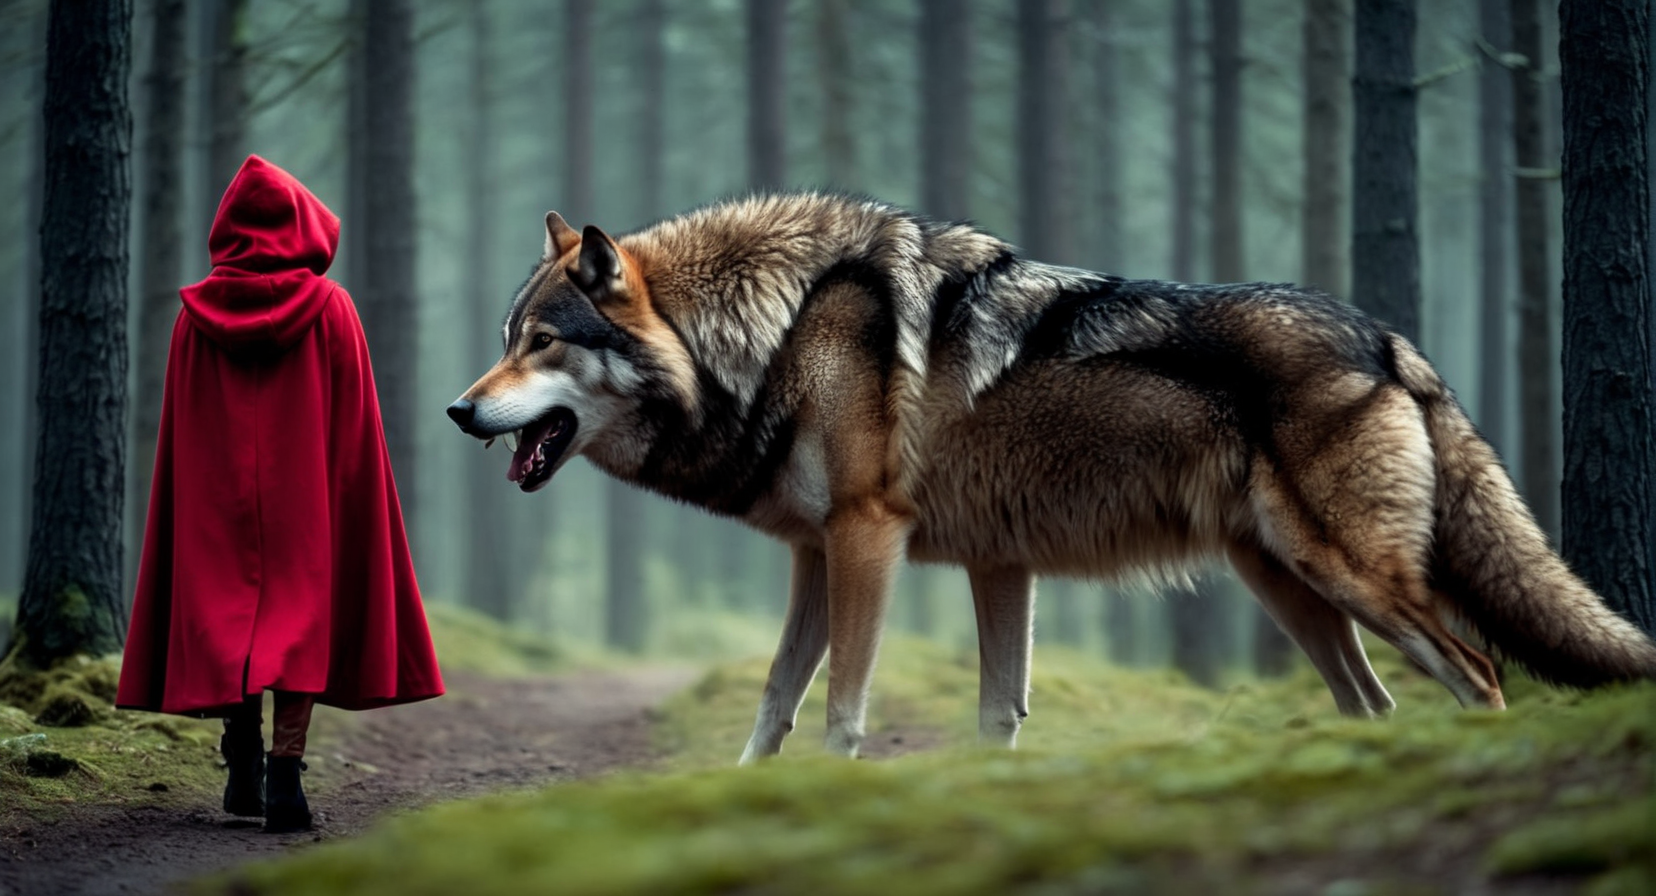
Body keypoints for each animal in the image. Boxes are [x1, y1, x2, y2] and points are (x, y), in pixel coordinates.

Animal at [446, 193, 1656, 762]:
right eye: (503, 340)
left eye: (540, 344)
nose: (457, 410)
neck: (774, 335)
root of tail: (1390, 338)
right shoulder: (892, 558)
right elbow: (787, 706)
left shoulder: (866, 537)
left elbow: (840, 708)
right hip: (1288, 585)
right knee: (1376, 705)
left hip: (1353, 579)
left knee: (1483, 677)